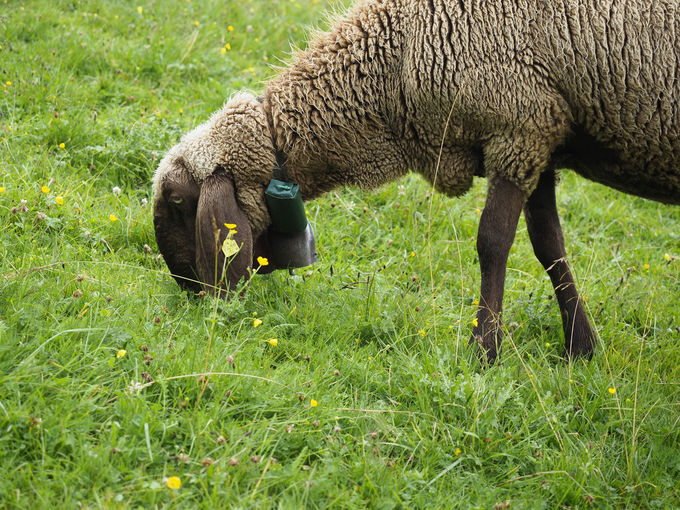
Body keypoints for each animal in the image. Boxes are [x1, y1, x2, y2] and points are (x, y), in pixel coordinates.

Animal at [153, 0, 680, 362]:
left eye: (178, 201)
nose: (188, 292)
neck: (396, 64)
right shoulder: (539, 135)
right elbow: (550, 246)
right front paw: (581, 349)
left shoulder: (517, 127)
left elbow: (493, 242)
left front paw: (483, 351)